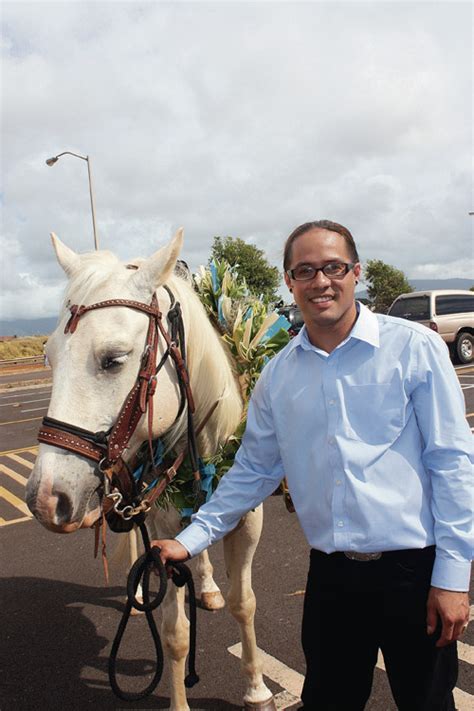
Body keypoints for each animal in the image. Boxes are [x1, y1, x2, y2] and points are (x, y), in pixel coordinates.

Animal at [25, 229, 276, 711]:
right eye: (49, 357)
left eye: (114, 359)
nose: (45, 499)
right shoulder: (159, 526)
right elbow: (175, 633)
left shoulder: (248, 521)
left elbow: (246, 603)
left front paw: (256, 687)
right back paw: (141, 589)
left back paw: (207, 585)